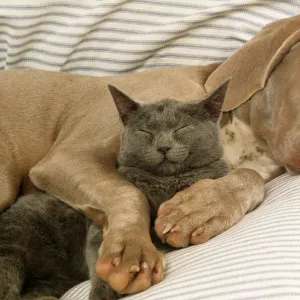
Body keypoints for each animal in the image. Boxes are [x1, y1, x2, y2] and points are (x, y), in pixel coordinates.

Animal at [0, 82, 227, 300]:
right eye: (146, 132)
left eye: (181, 128)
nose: (163, 146)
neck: (164, 181)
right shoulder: (100, 224)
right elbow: (100, 251)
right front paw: (106, 288)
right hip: (13, 238)